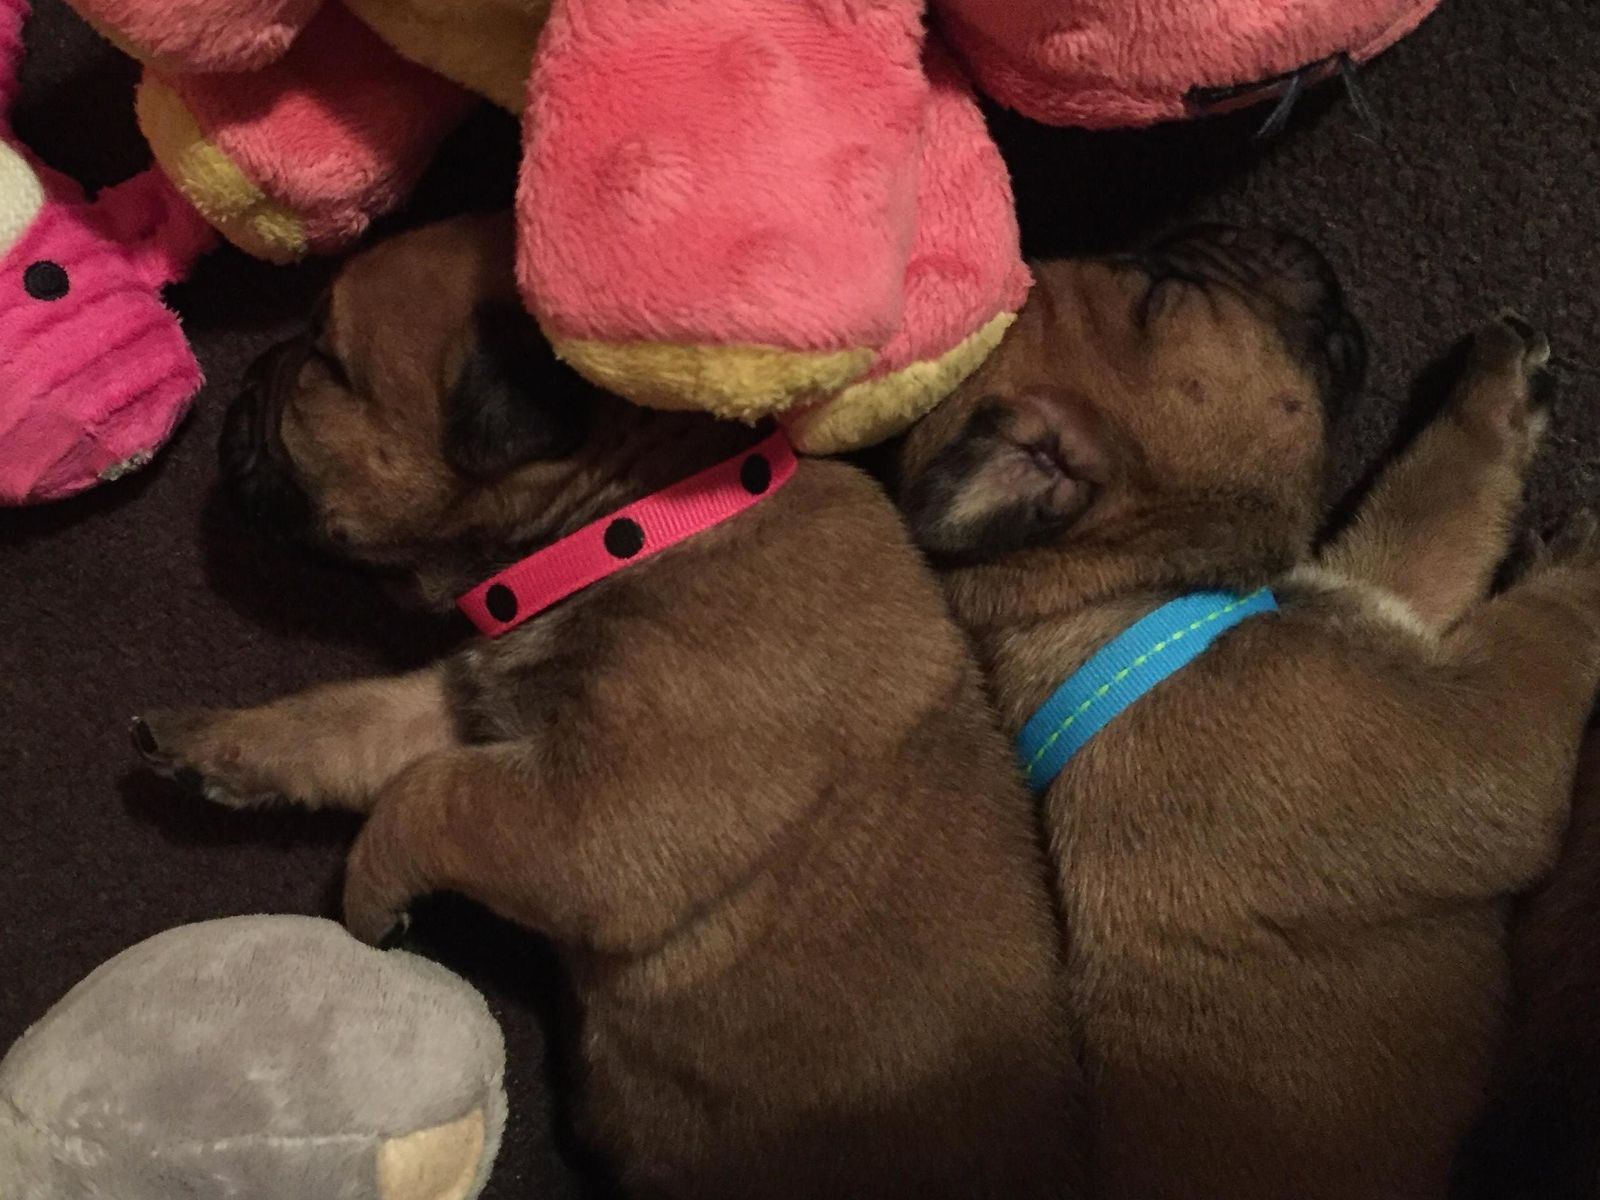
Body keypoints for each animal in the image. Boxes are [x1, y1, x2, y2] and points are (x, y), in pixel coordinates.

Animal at [129, 213, 1084, 1200]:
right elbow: (342, 726)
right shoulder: (466, 712)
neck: (634, 525)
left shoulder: (597, 815)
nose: (241, 379)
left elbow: (426, 793)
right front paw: (215, 746)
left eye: (325, 358)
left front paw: (364, 898)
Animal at [896, 226, 1600, 1200]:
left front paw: (1492, 387)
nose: (1274, 232)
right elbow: (1548, 625)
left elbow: (1438, 488)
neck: (1109, 596)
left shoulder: (1384, 592)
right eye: (1159, 289)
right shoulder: (1486, 734)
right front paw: (1585, 560)